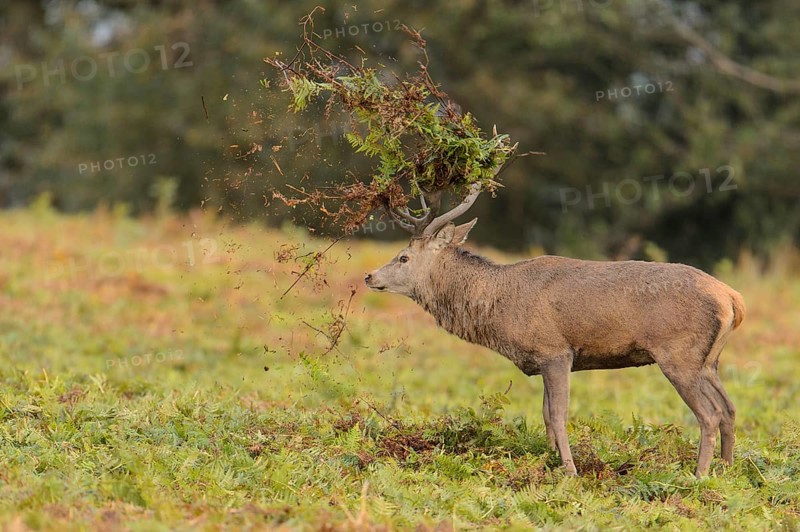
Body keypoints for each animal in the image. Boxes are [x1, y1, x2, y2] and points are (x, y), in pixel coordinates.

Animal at [364, 175, 745, 477]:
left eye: (403, 257)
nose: (369, 276)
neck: (499, 306)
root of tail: (731, 297)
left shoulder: (556, 350)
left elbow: (559, 415)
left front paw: (571, 471)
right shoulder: (544, 357)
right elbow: (546, 414)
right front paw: (551, 460)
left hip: (678, 354)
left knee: (709, 414)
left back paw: (699, 475)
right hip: (708, 361)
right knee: (728, 408)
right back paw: (726, 470)